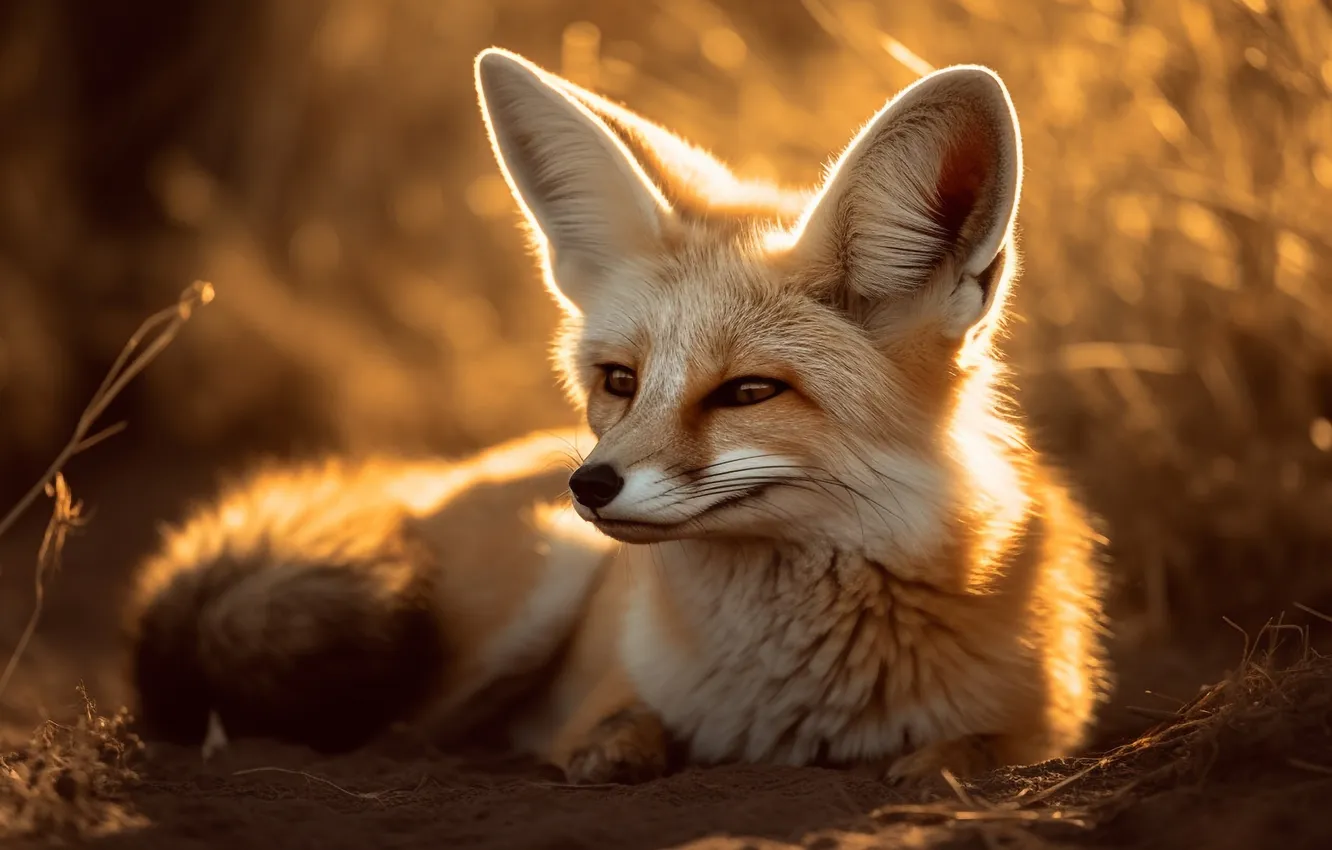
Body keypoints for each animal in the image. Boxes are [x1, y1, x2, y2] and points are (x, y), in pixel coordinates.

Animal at [123, 47, 1111, 786]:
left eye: (749, 392)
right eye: (620, 380)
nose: (589, 485)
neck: (792, 699)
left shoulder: (1050, 715)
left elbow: (983, 745)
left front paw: (939, 759)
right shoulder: (603, 682)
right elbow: (615, 722)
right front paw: (624, 743)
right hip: (537, 584)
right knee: (401, 731)